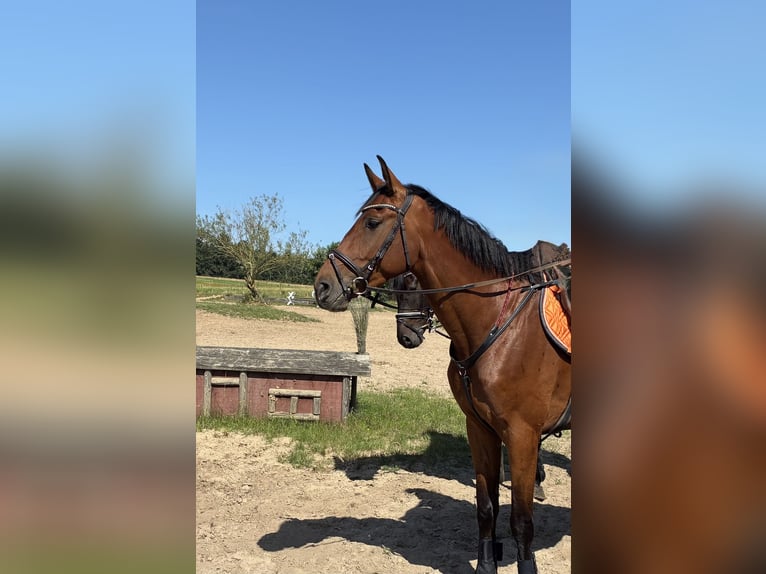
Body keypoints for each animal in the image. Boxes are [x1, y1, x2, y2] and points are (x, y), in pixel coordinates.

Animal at [314, 156, 571, 574]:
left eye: (373, 223)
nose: (322, 286)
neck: (497, 323)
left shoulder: (522, 434)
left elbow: (521, 519)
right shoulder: (480, 430)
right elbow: (486, 508)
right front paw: (486, 564)